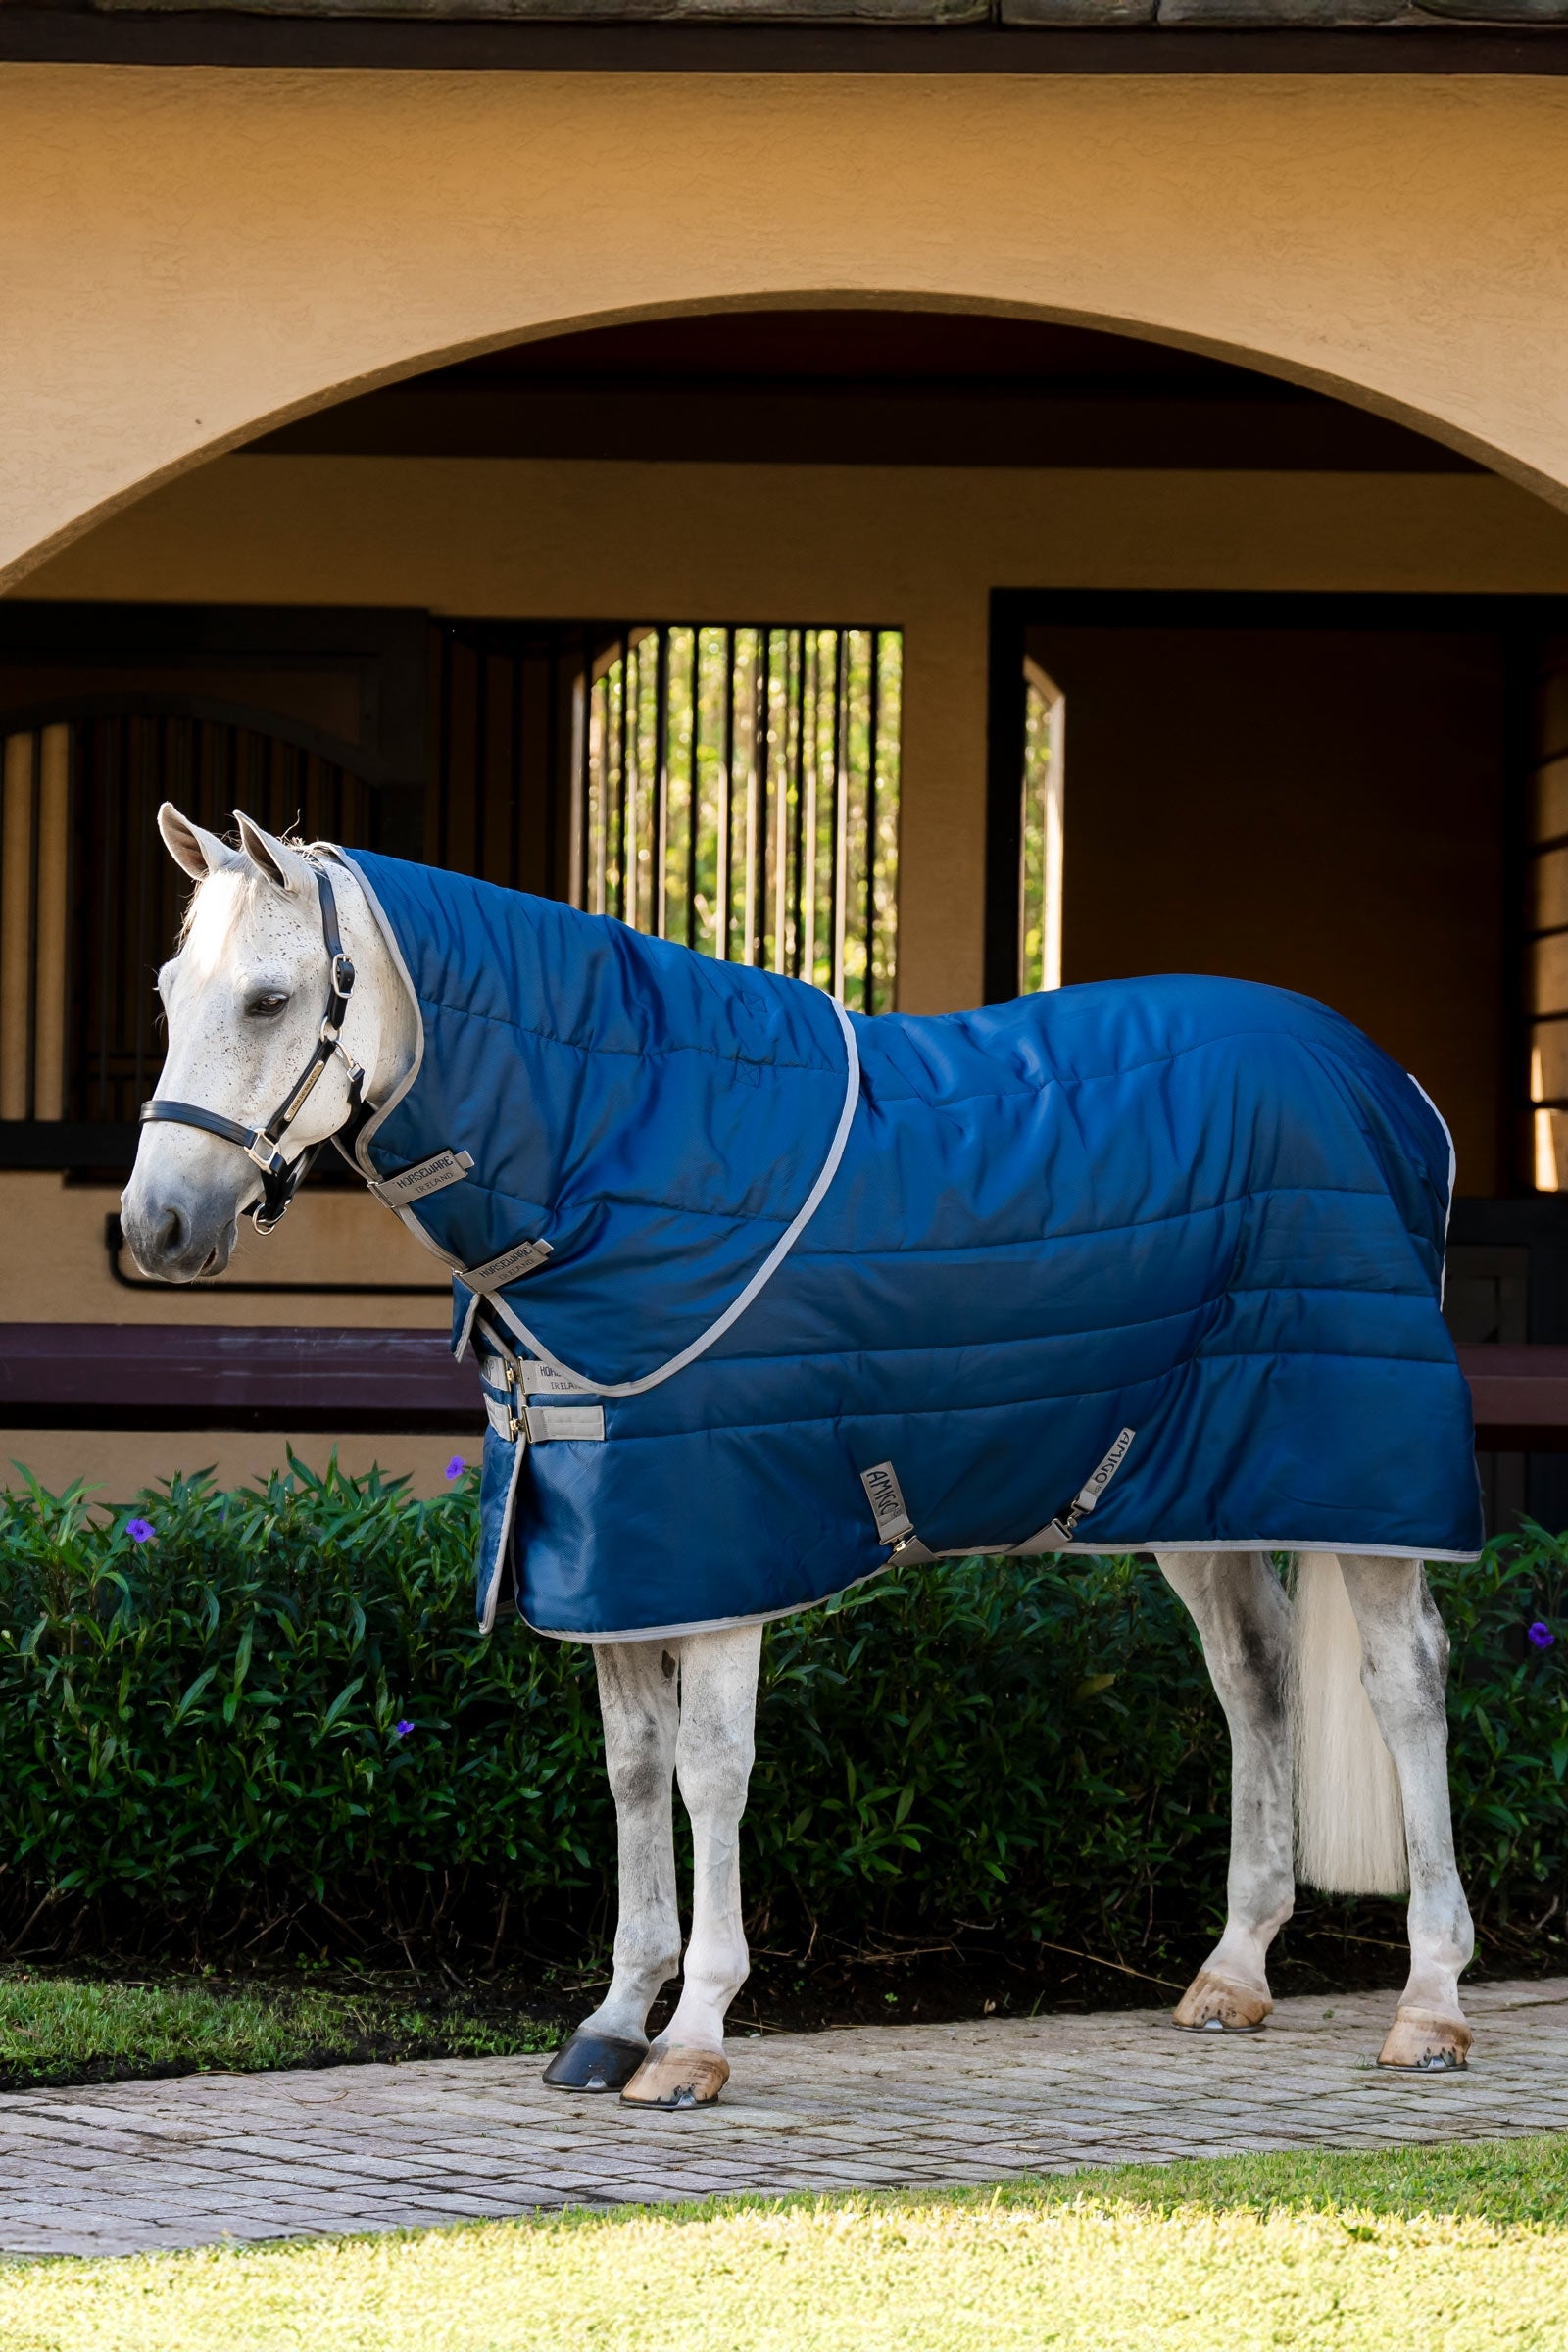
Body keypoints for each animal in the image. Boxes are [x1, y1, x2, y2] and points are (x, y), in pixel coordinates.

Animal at [122, 803, 1481, 2105]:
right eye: (170, 992)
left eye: (269, 999)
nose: (156, 1226)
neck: (611, 1148)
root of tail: (1395, 1087)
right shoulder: (614, 1551)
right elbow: (632, 1770)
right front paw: (612, 2021)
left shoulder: (718, 1549)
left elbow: (710, 1773)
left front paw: (692, 2041)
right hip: (1192, 1484)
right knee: (1255, 1676)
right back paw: (1233, 1972)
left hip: (1361, 1478)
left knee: (1405, 1683)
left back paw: (1430, 2007)